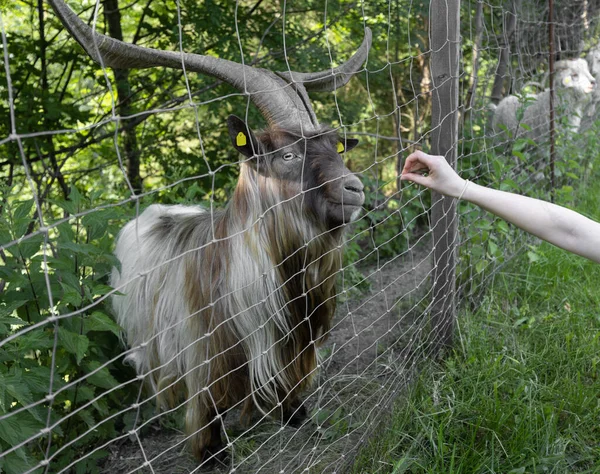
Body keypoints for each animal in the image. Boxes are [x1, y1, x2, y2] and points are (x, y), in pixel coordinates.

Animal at [48, 0, 370, 462]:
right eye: (288, 155)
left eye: (336, 148)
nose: (355, 189)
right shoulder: (205, 356)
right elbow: (207, 412)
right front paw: (212, 455)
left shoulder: (295, 342)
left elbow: (289, 387)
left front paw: (293, 416)